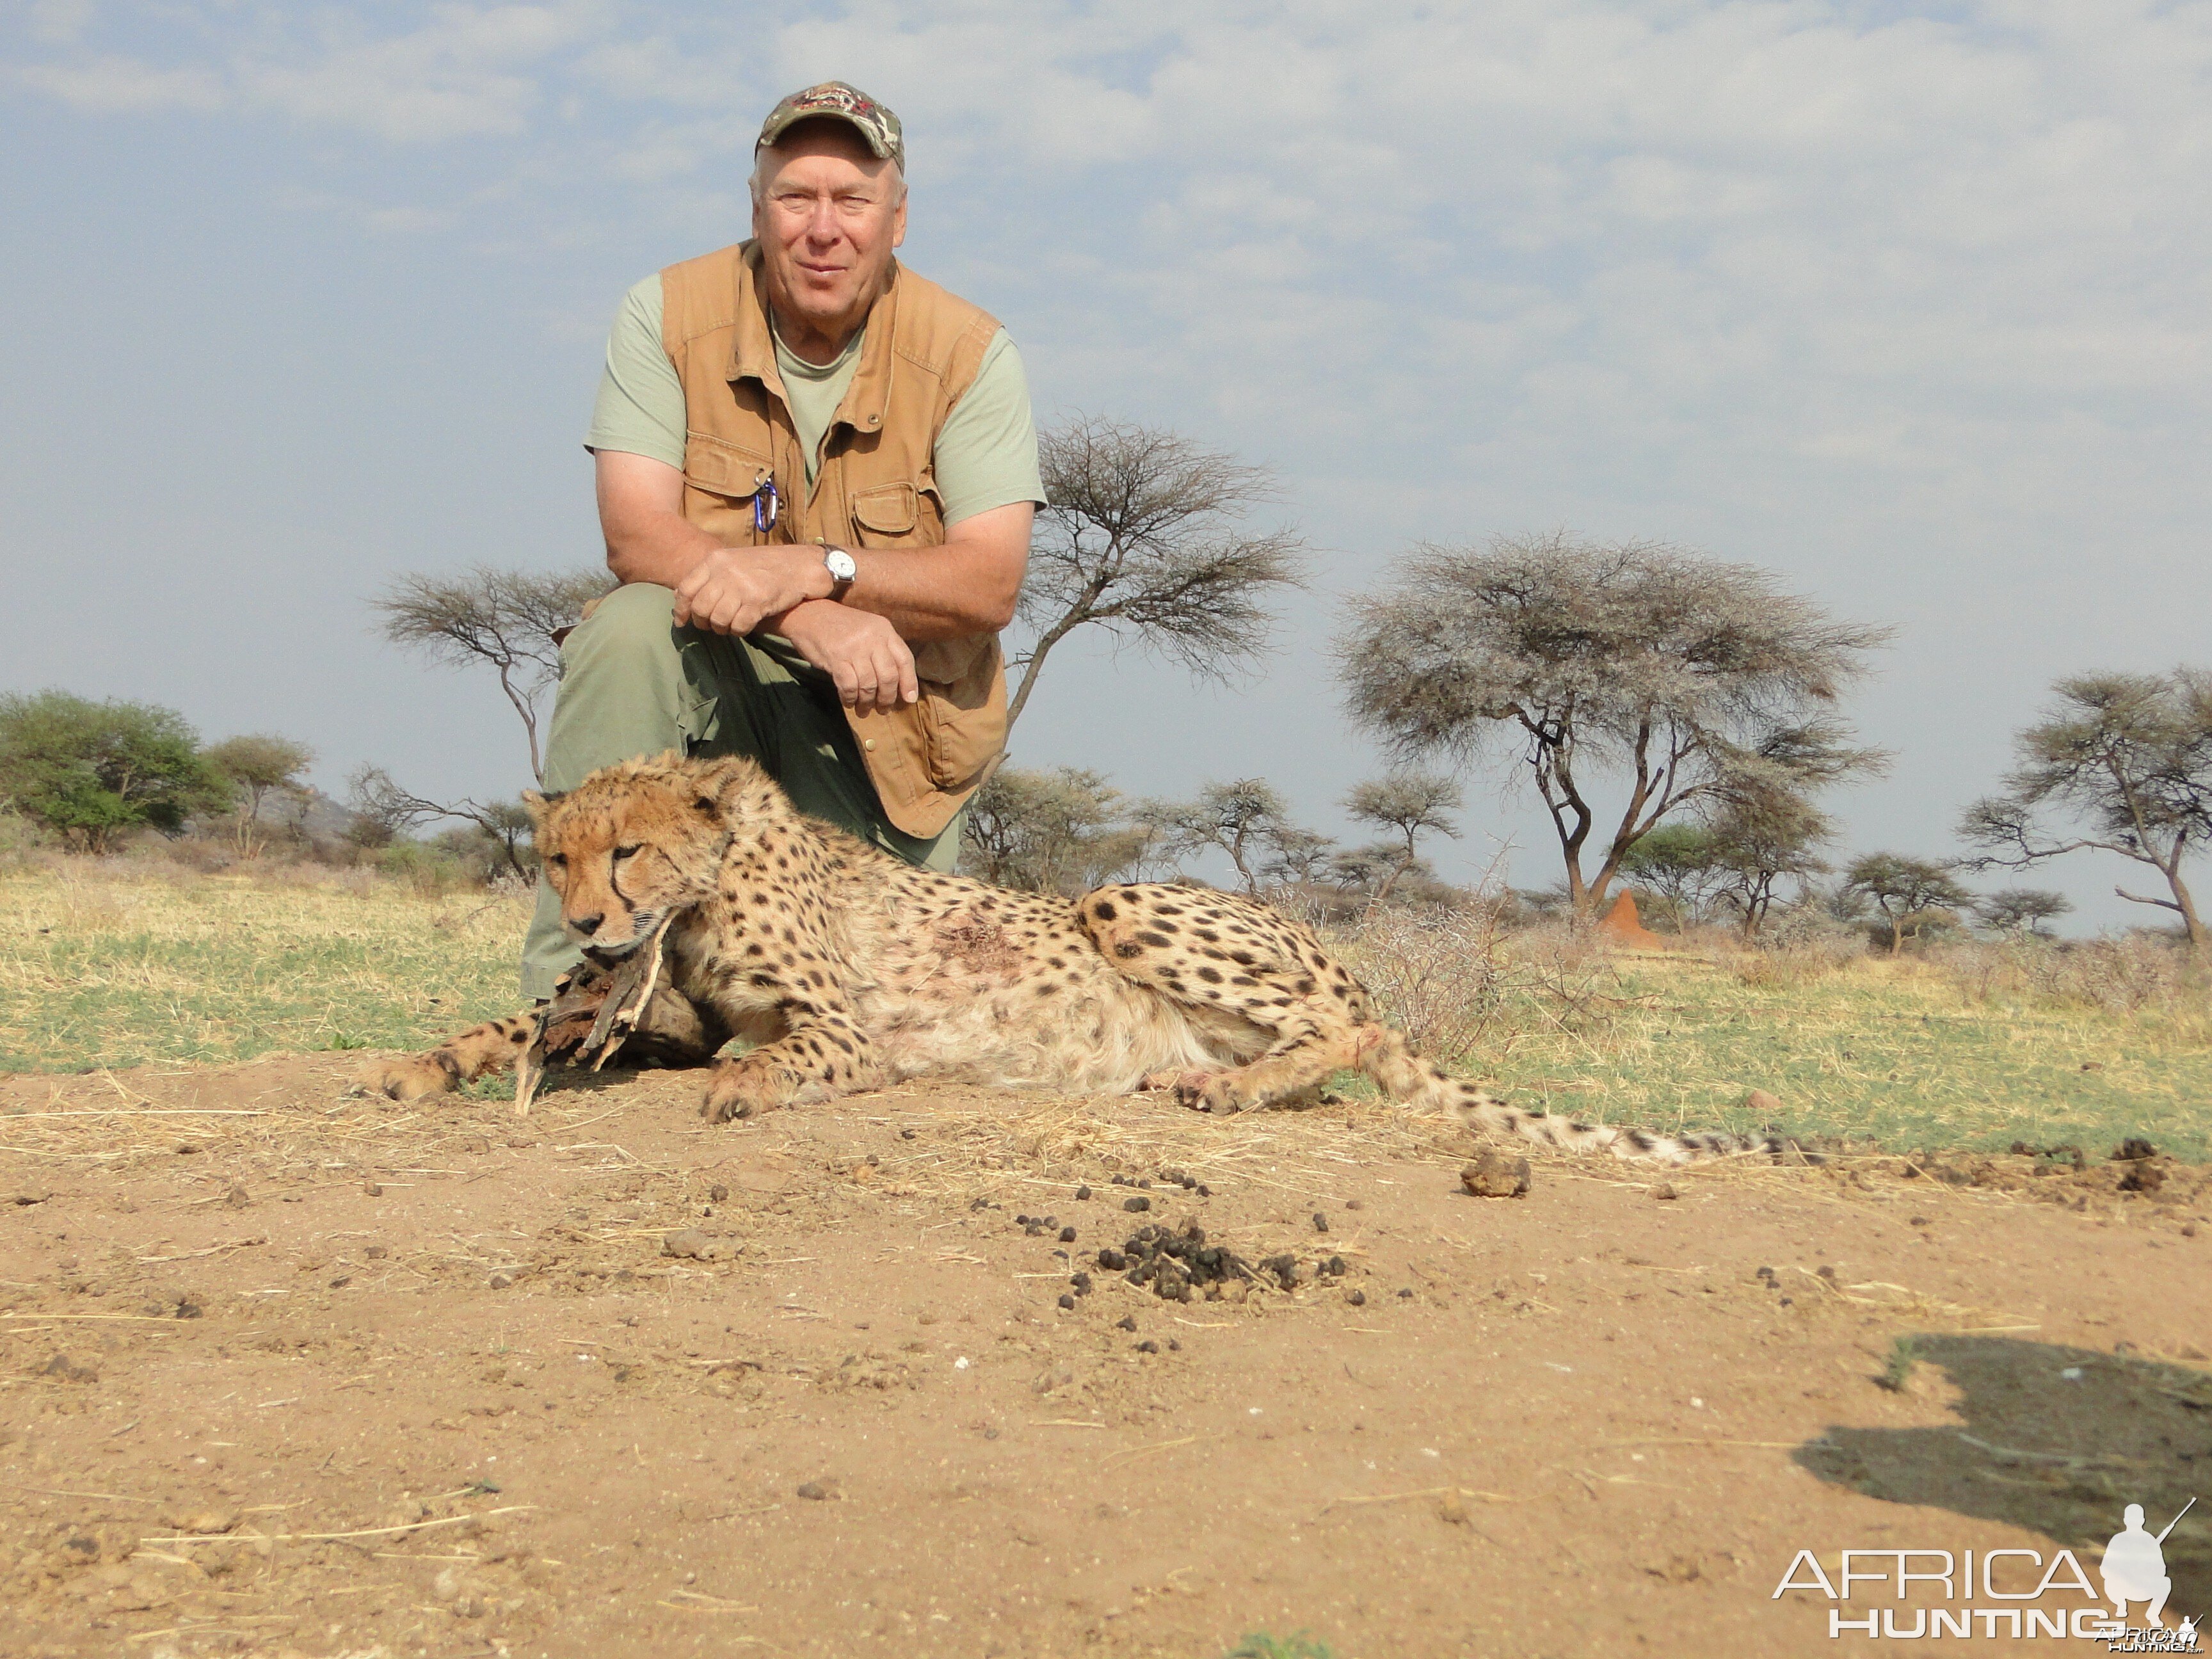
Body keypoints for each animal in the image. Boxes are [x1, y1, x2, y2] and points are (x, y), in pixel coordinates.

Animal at [362, 756, 1778, 1167]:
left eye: (633, 853)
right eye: (558, 860)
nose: (596, 929)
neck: (706, 883)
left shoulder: (843, 1028)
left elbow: (792, 1051)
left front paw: (746, 1089)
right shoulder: (675, 1008)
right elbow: (511, 1026)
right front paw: (413, 1065)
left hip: (1121, 896)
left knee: (1355, 1036)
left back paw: (1221, 1084)